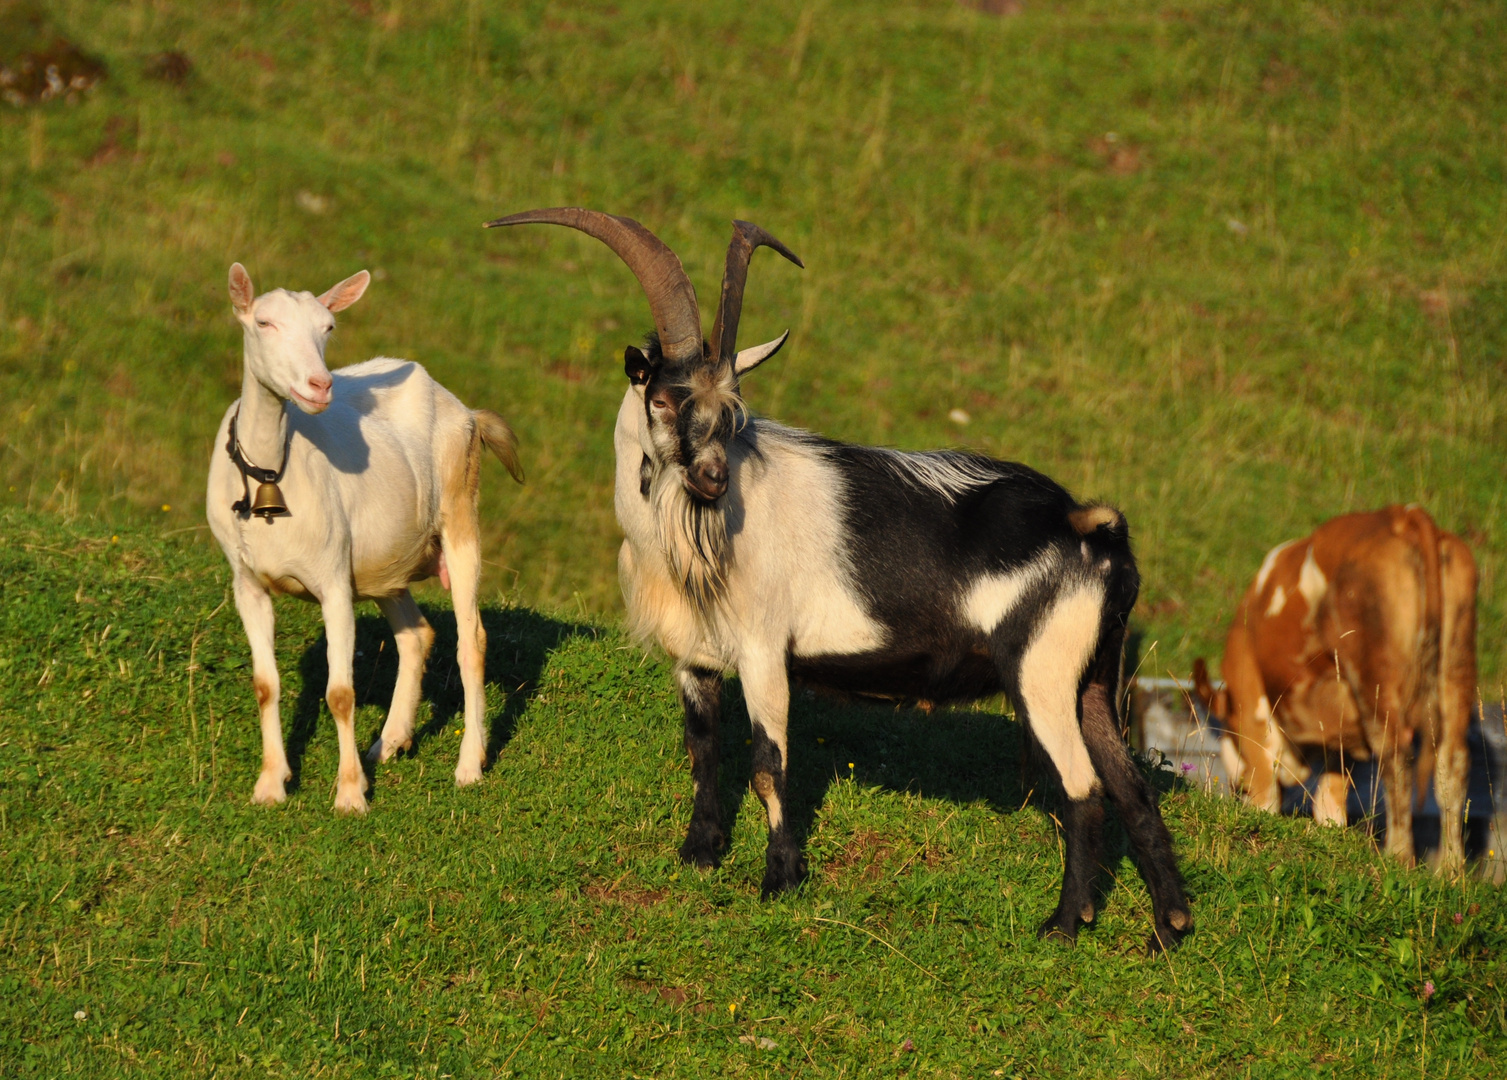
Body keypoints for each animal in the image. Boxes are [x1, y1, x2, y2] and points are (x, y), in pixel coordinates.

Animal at [206, 265, 524, 813]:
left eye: (328, 328)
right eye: (263, 322)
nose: (319, 385)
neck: (271, 469)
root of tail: (466, 412)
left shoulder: (333, 579)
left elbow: (340, 693)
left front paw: (351, 794)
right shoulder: (246, 582)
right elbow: (266, 685)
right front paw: (270, 785)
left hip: (461, 511)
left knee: (471, 640)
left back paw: (469, 765)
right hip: (385, 563)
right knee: (416, 634)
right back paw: (389, 742)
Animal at [488, 206, 1193, 945]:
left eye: (731, 411)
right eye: (663, 399)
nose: (712, 477)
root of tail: (1089, 525)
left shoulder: (764, 650)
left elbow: (768, 765)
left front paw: (780, 880)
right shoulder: (695, 656)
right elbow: (702, 750)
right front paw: (700, 853)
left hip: (1041, 671)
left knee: (1083, 791)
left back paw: (1061, 925)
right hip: (1092, 676)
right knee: (1132, 788)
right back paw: (1168, 929)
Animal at [1193, 503, 1476, 867]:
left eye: (1227, 731)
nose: (1235, 786)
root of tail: (1400, 514)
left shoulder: (1251, 704)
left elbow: (1267, 797)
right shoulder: (1338, 742)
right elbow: (1329, 805)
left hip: (1374, 677)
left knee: (1395, 755)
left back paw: (1398, 857)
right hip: (1455, 666)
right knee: (1452, 764)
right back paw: (1451, 870)